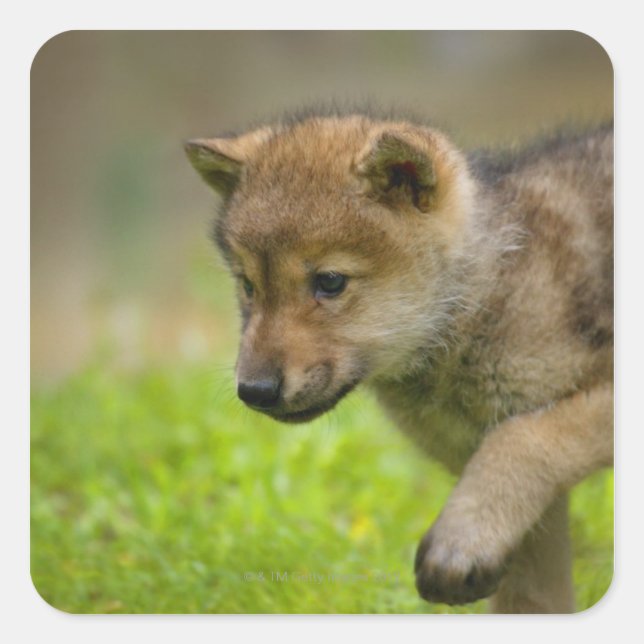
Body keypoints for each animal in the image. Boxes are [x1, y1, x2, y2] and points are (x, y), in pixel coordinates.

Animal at [185, 110, 613, 613]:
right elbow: (534, 596)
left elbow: (523, 438)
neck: (490, 292)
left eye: (330, 282)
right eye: (249, 286)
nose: (254, 391)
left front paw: (458, 541)